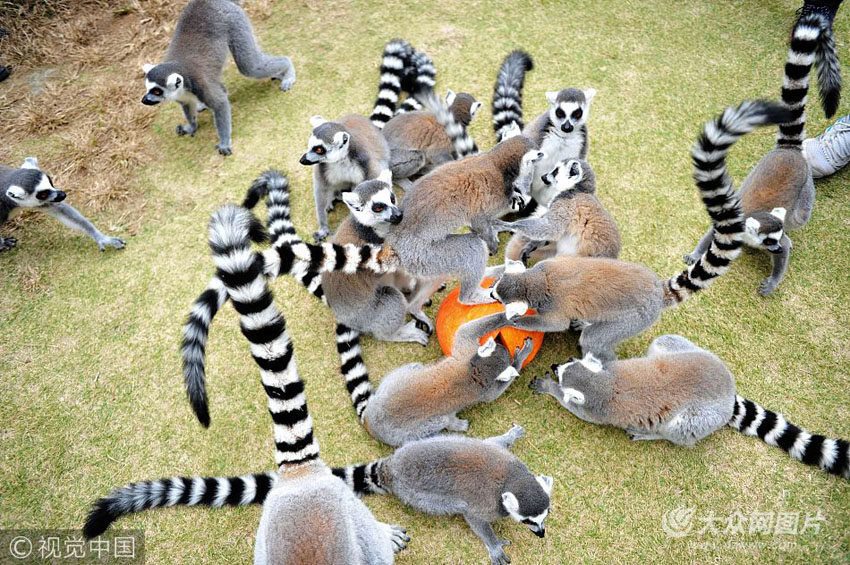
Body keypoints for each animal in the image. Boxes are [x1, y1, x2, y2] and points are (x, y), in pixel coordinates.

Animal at [140, 0, 296, 155]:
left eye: (157, 91)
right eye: (147, 88)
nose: (144, 100)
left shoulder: (201, 84)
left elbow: (220, 103)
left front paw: (224, 142)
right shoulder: (182, 95)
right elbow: (187, 105)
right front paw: (191, 127)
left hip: (234, 21)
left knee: (251, 66)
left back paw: (287, 70)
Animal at [531, 335, 849, 480]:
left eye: (563, 372)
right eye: (568, 362)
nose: (555, 365)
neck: (604, 383)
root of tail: (727, 394)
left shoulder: (597, 411)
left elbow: (576, 409)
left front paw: (548, 387)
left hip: (697, 419)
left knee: (680, 428)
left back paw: (650, 433)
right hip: (686, 351)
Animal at [684, 12, 842, 295]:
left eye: (776, 240)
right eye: (769, 240)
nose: (776, 248)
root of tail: (789, 151)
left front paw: (773, 281)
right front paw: (695, 254)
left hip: (805, 194)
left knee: (800, 217)